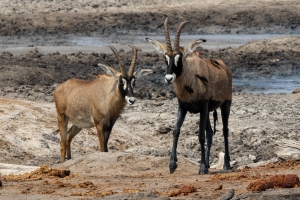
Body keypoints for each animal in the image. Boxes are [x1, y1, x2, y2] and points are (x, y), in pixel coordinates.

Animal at [146, 19, 233, 175]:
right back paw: (209, 164)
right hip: (208, 111)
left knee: (224, 131)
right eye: (166, 58)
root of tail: (225, 67)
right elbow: (176, 131)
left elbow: (200, 135)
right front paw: (172, 165)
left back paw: (226, 165)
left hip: (225, 104)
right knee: (210, 133)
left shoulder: (203, 107)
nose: (168, 78)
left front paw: (202, 167)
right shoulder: (183, 107)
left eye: (179, 58)